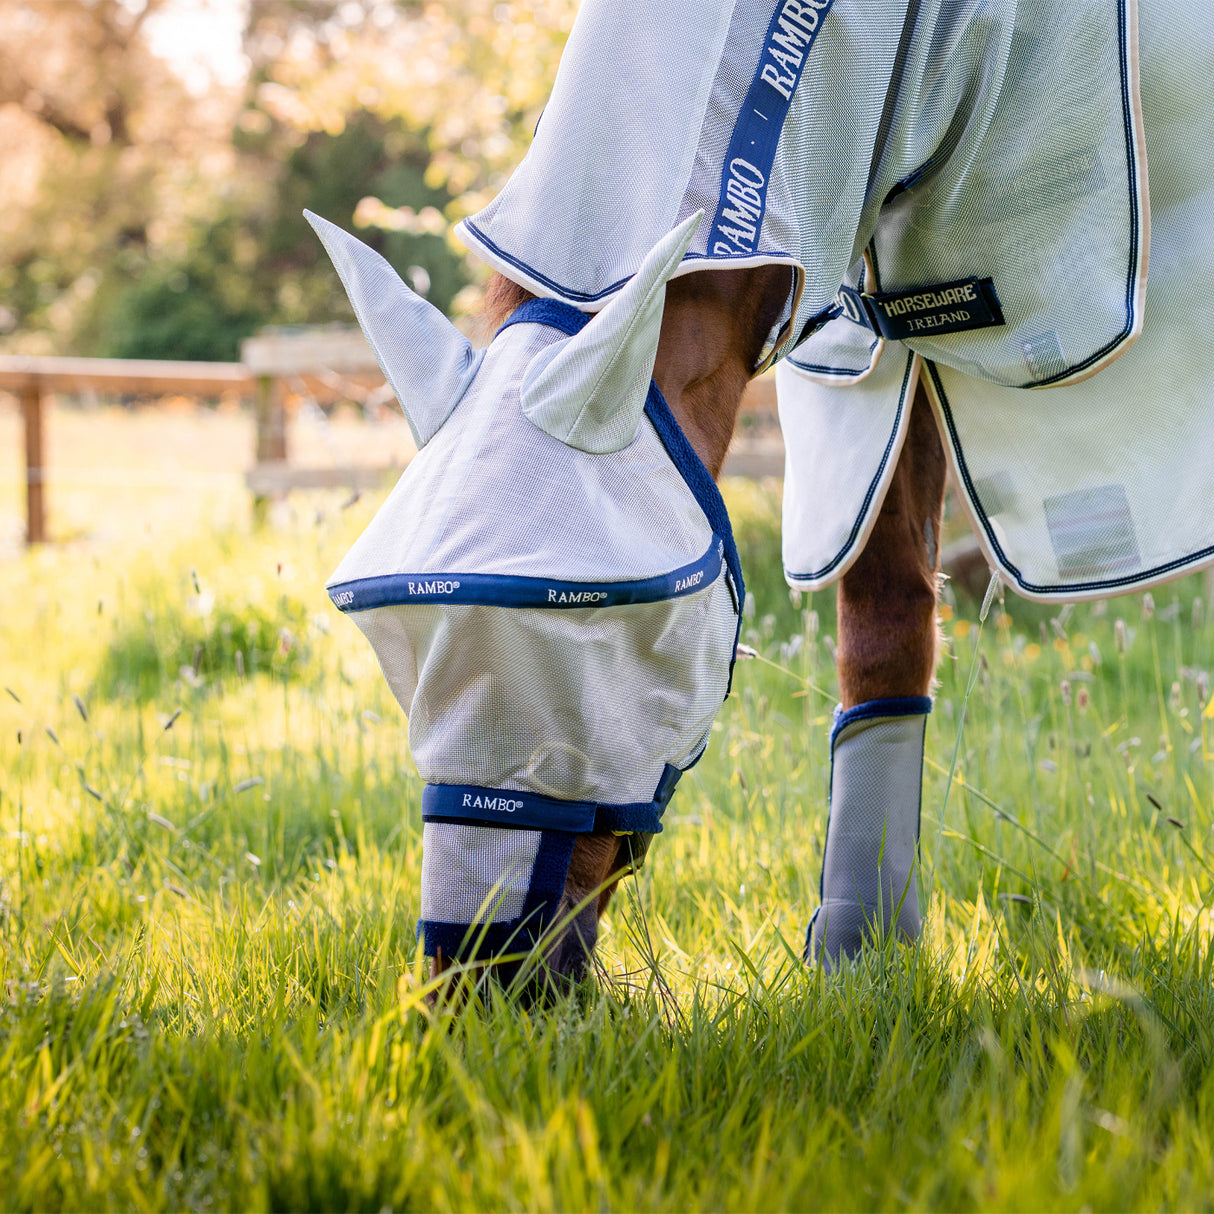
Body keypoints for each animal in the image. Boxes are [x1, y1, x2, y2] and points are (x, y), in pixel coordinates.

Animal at [308, 0, 1214, 985]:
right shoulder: (867, 366)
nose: (478, 983)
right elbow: (885, 632)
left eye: (610, 632)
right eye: (397, 650)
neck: (935, 47)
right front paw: (863, 955)